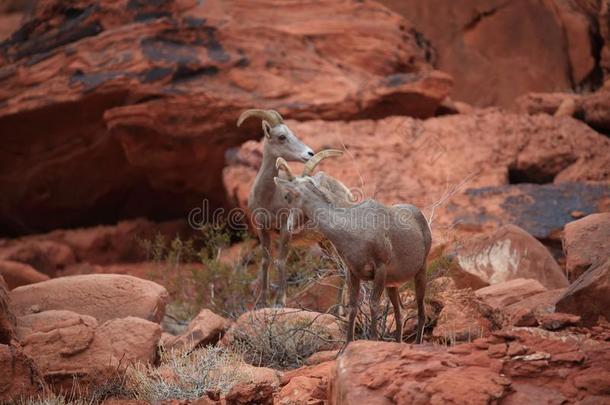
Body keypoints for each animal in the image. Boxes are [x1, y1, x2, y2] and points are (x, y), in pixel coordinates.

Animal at [236, 109, 354, 304]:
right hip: (324, 242)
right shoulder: (262, 229)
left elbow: (281, 262)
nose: (310, 153)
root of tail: (347, 192)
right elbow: (266, 261)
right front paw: (262, 302)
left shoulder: (286, 228)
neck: (269, 197)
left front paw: (279, 302)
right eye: (282, 136)